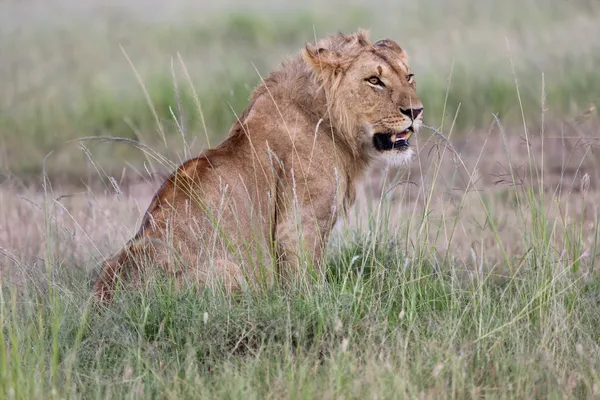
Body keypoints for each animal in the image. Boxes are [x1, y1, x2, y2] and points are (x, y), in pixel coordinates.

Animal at [92, 29, 422, 302]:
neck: (329, 121)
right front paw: (317, 303)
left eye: (408, 76)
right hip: (230, 269)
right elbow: (305, 279)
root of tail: (104, 302)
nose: (416, 111)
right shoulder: (298, 224)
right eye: (374, 81)